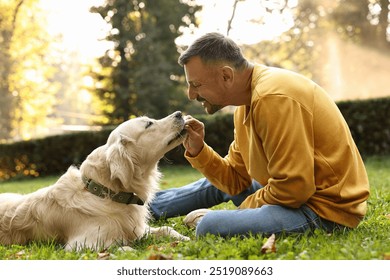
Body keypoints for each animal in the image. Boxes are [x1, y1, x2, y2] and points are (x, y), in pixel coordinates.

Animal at [0, 110, 189, 250]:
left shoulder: (138, 229)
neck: (105, 192)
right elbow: (123, 248)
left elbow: (167, 228)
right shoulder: (83, 244)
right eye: (148, 124)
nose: (180, 113)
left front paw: (184, 238)